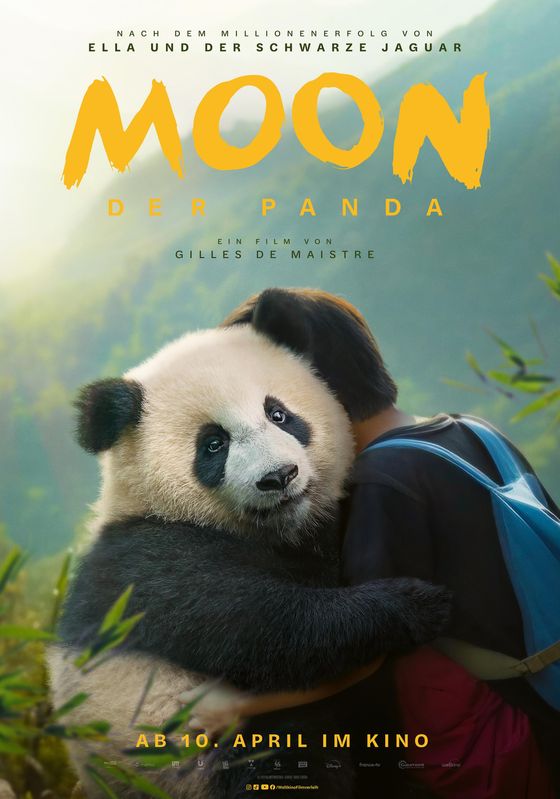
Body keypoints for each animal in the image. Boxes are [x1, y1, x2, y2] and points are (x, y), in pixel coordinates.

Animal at [49, 316, 450, 799]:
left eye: (278, 414)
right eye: (213, 444)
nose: (279, 476)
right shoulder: (147, 561)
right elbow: (262, 625)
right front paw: (415, 604)